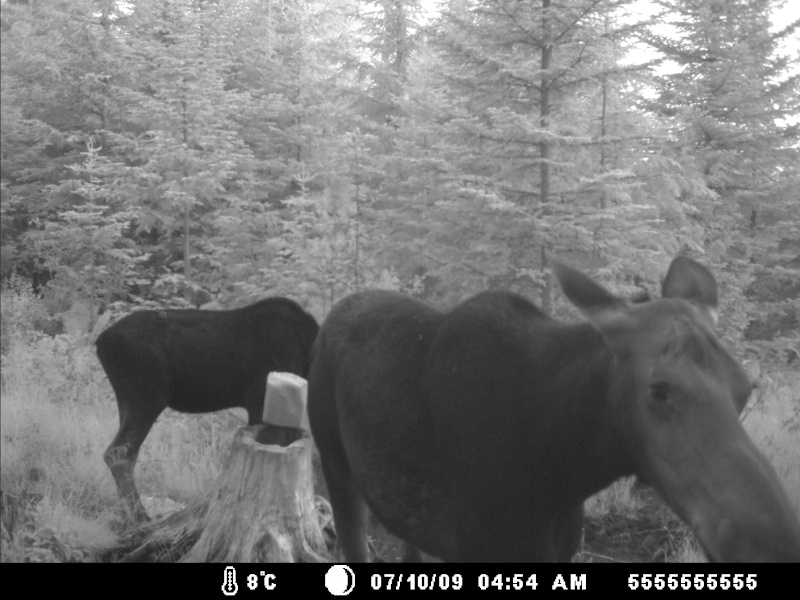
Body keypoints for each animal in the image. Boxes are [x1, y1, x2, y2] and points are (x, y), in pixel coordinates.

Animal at [95, 298, 318, 524]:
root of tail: (100, 342)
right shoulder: (259, 401)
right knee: (119, 451)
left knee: (127, 452)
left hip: (127, 399)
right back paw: (141, 517)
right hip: (146, 396)